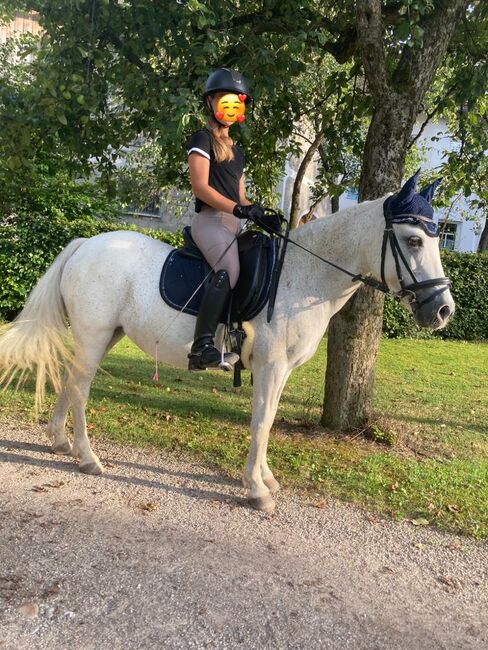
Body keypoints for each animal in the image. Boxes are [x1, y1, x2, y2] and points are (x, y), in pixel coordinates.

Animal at [0, 173, 454, 512]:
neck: (304, 275)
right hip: (94, 334)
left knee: (71, 381)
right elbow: (262, 422)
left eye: (437, 238)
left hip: (105, 335)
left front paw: (265, 477)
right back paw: (88, 457)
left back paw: (60, 442)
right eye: (414, 240)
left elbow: (267, 419)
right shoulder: (270, 366)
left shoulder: (280, 371)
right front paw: (256, 489)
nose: (443, 310)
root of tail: (85, 244)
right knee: (80, 389)